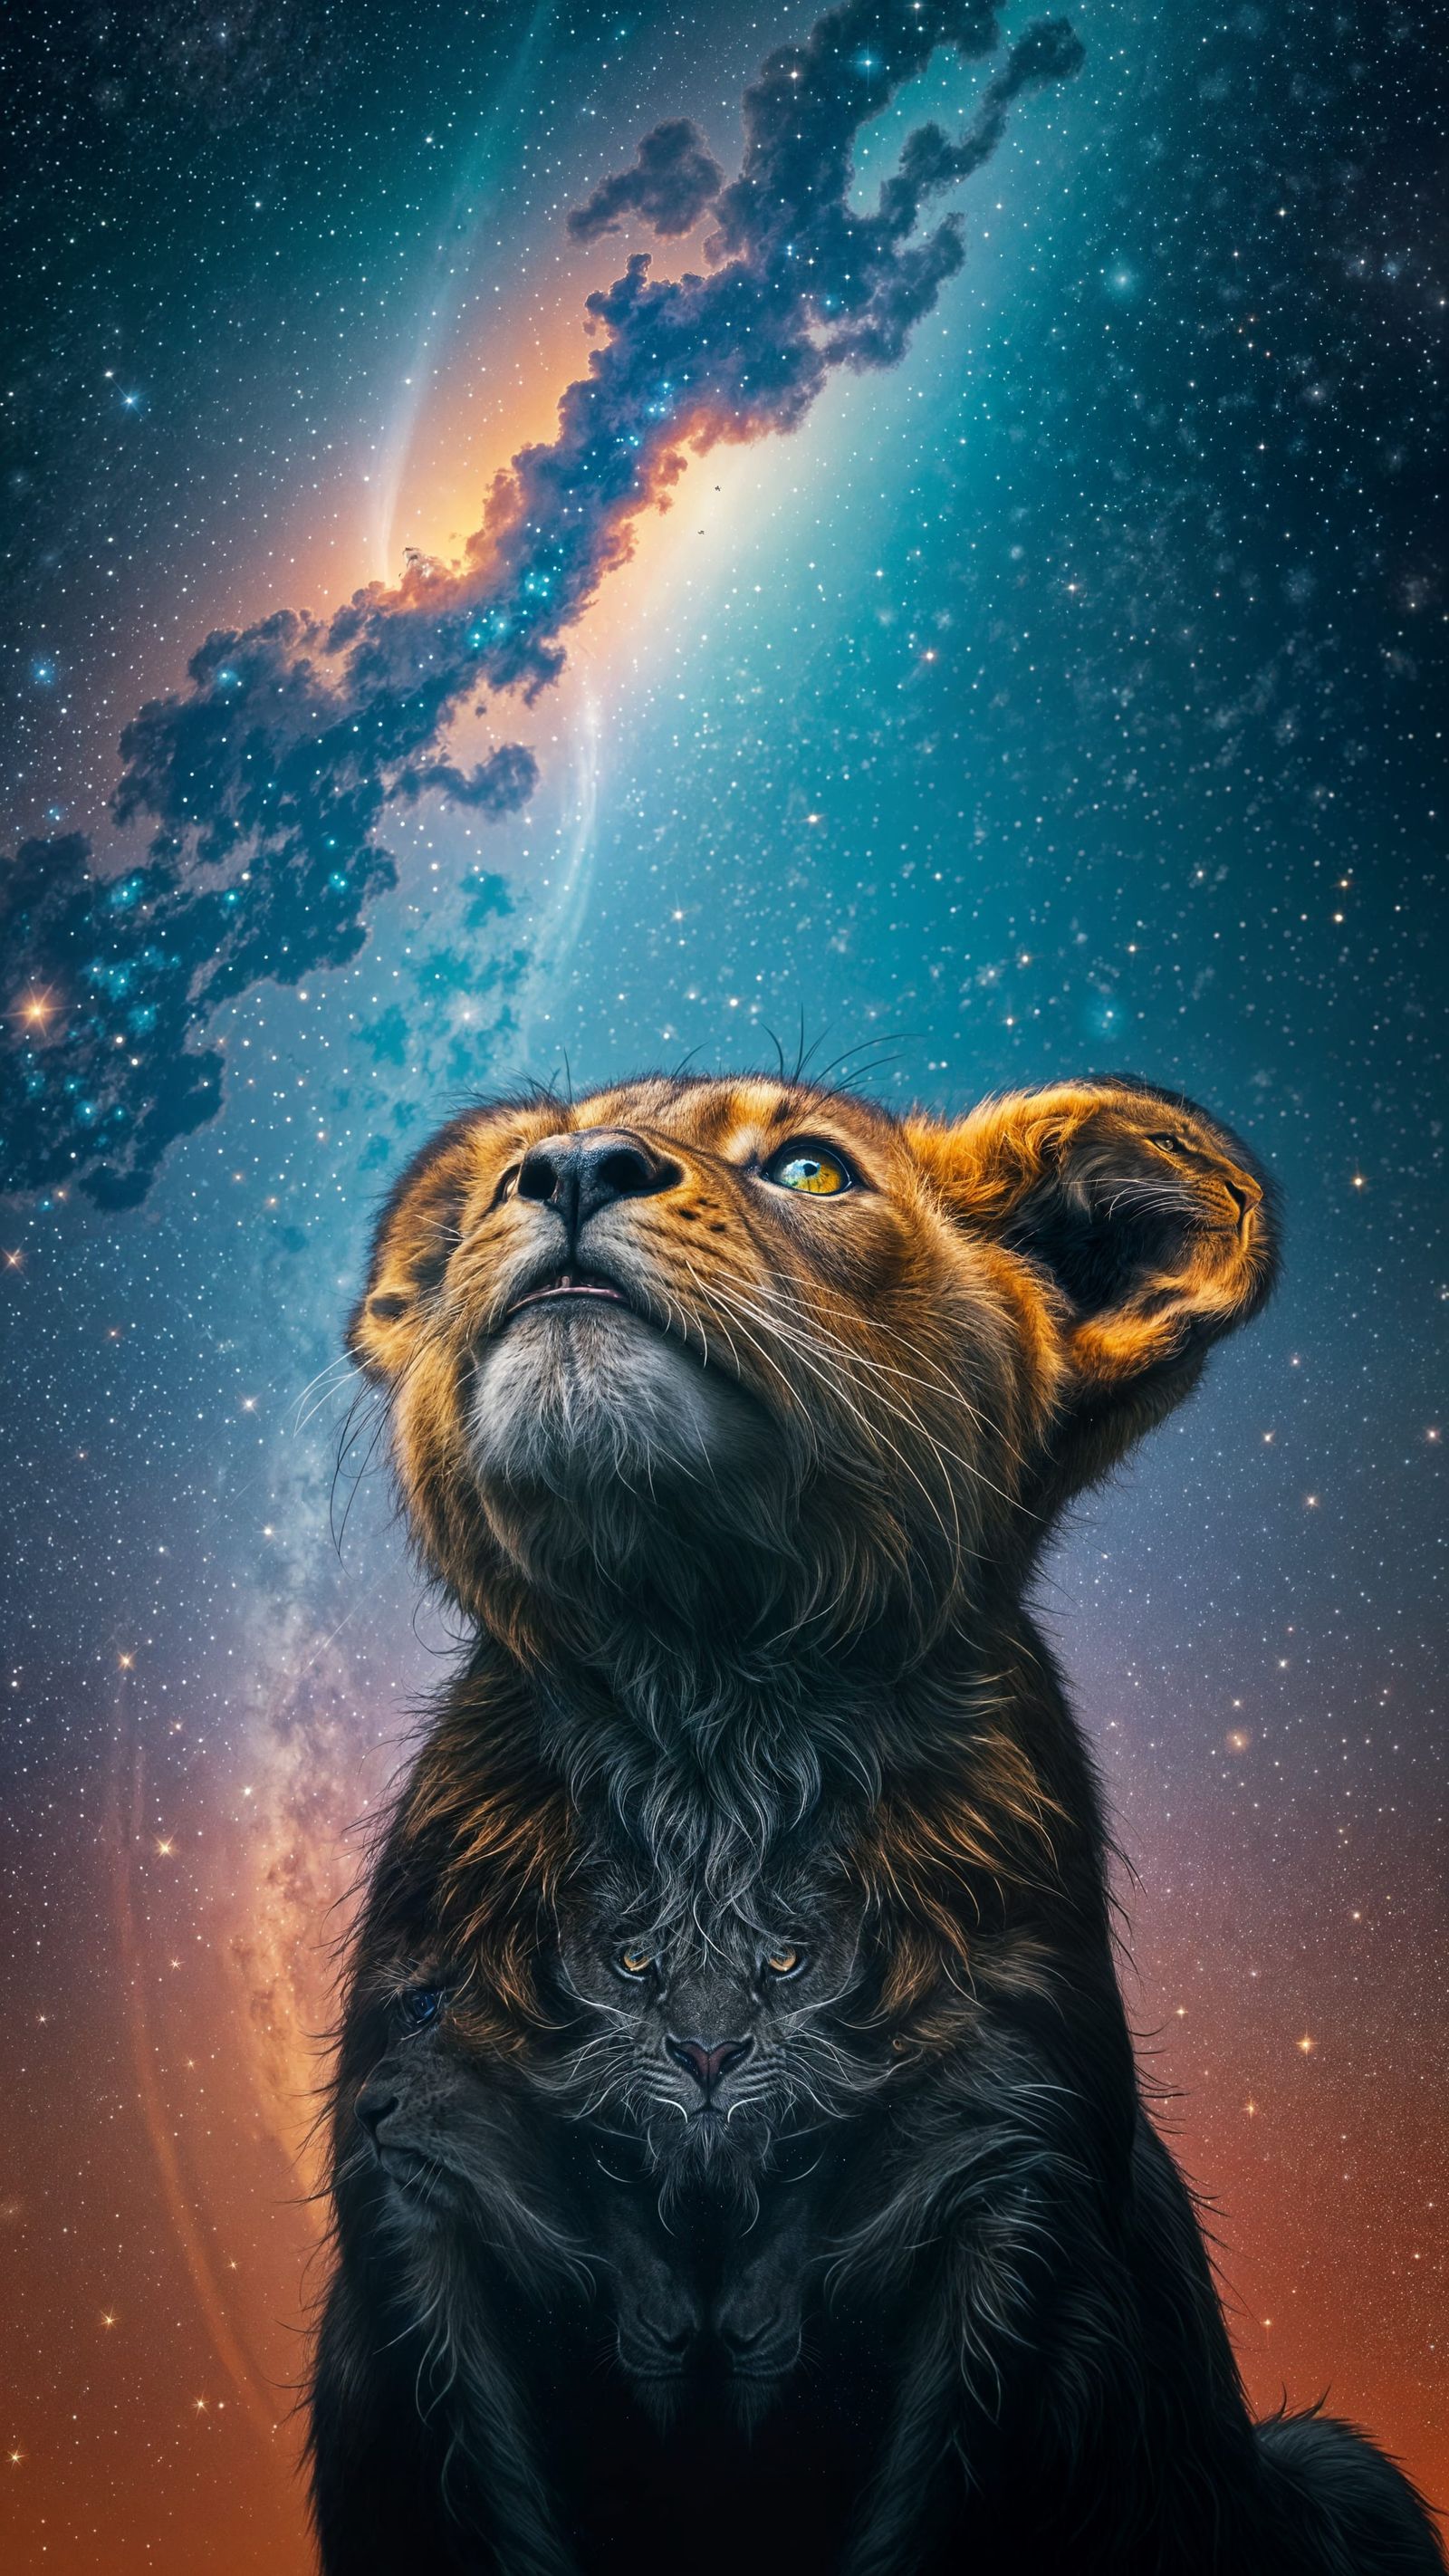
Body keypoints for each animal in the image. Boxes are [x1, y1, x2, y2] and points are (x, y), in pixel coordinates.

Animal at [311, 1072, 1442, 2574]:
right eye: (512, 1167)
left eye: (809, 1168)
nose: (567, 1170)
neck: (714, 1716)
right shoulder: (431, 2182)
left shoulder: (1005, 2192)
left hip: (1344, 2469)